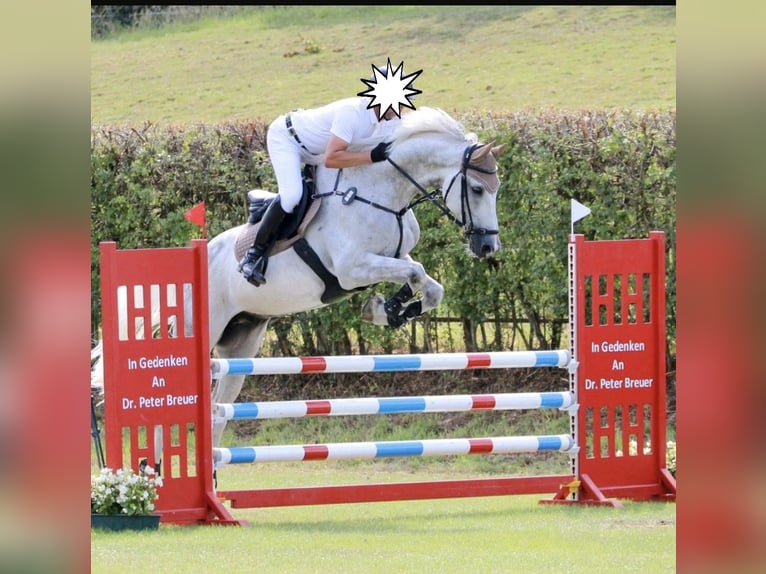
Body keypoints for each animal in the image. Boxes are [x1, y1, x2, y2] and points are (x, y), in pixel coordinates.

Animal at [92, 106, 506, 449]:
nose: (487, 247)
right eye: (476, 188)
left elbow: (429, 285)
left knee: (218, 410)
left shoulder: (391, 257)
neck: (382, 192)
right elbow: (416, 272)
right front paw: (385, 309)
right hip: (202, 331)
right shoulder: (352, 268)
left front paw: (388, 309)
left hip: (240, 345)